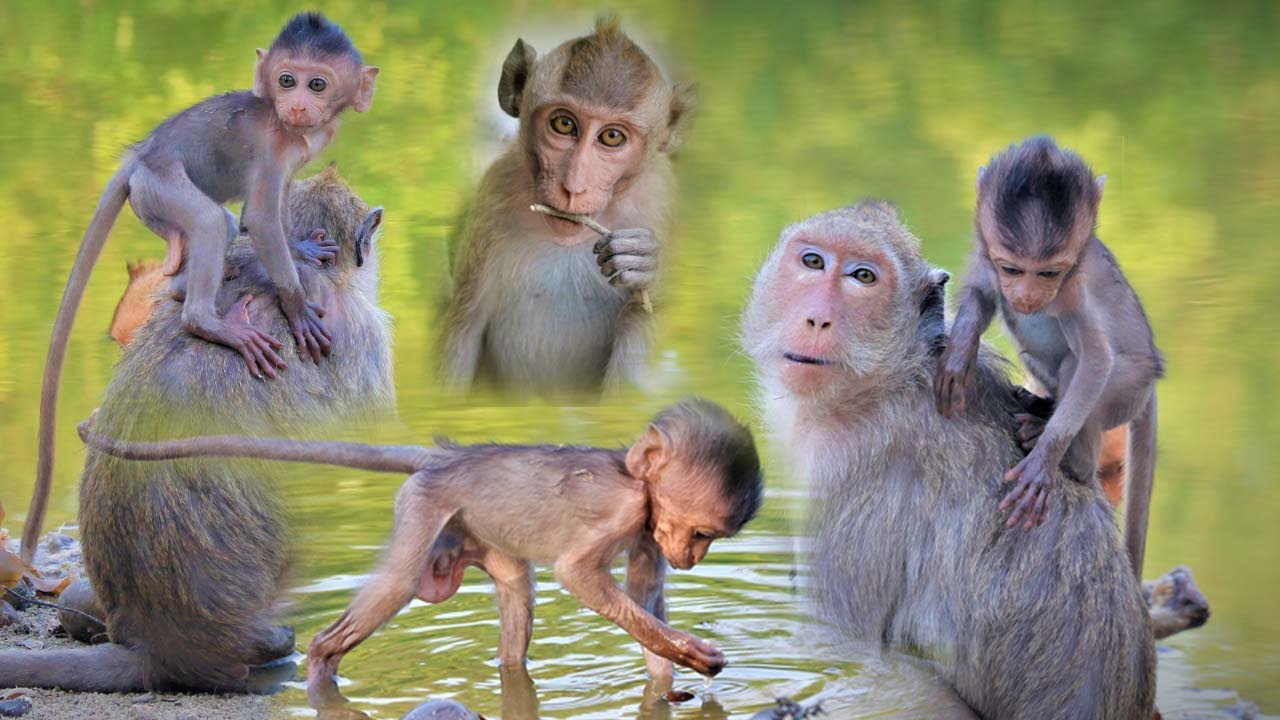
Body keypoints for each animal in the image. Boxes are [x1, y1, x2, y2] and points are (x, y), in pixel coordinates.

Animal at [27, 11, 379, 566]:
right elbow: (260, 216)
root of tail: (137, 159)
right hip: (161, 189)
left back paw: (179, 291)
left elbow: (268, 213)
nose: (297, 104)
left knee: (217, 229)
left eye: (317, 84)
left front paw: (300, 249)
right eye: (287, 80)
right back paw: (207, 321)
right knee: (215, 223)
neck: (291, 128)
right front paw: (299, 309)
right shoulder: (275, 147)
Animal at [76, 398, 763, 704]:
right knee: (395, 587)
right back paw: (321, 667)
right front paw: (694, 654)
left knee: (515, 598)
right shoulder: (623, 514)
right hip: (424, 510)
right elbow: (578, 574)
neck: (636, 485)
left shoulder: (646, 533)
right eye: (699, 533)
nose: (694, 558)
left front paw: (667, 682)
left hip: (476, 536)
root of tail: (444, 457)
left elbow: (647, 601)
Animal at [441, 17, 696, 395]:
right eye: (564, 124)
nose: (573, 187)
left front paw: (643, 260)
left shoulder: (659, 202)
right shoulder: (493, 195)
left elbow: (645, 323)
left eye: (612, 137)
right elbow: (464, 326)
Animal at [742, 201, 1155, 719]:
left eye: (863, 277)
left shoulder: (855, 467)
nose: (817, 320)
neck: (891, 377)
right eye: (813, 262)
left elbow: (842, 651)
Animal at [934, 136, 1163, 577]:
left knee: (1081, 365)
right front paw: (958, 356)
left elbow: (1095, 360)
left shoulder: (1074, 290)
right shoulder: (987, 259)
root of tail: (1154, 377)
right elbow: (982, 294)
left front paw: (1045, 459)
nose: (1026, 297)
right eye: (1012, 268)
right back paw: (1040, 404)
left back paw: (1073, 459)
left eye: (1049, 274)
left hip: (1127, 388)